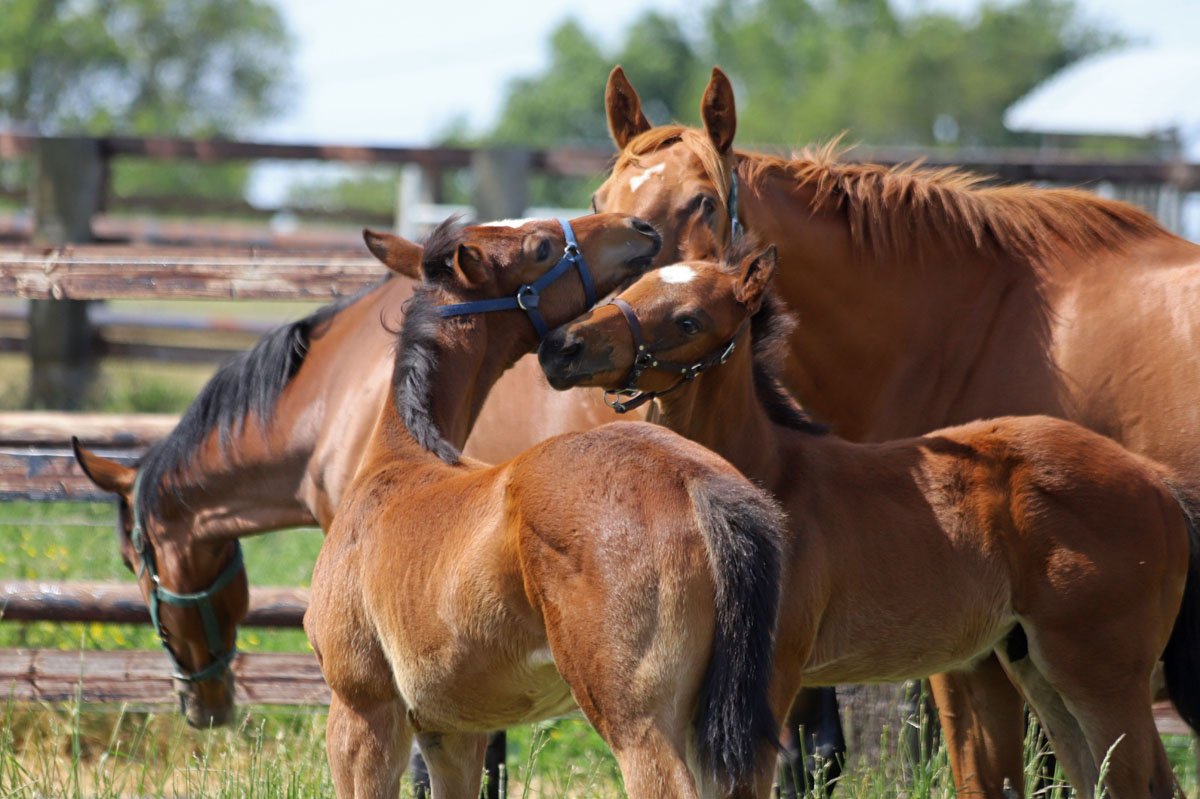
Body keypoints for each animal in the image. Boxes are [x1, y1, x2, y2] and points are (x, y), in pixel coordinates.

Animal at [303, 214, 786, 798]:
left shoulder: (362, 710)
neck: (398, 460)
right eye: (542, 247)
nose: (639, 226)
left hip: (635, 719)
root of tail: (692, 479)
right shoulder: (454, 731)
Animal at [593, 64, 1200, 795]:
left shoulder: (968, 654)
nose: (577, 340)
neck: (973, 323)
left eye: (703, 203)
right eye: (599, 200)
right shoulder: (986, 648)